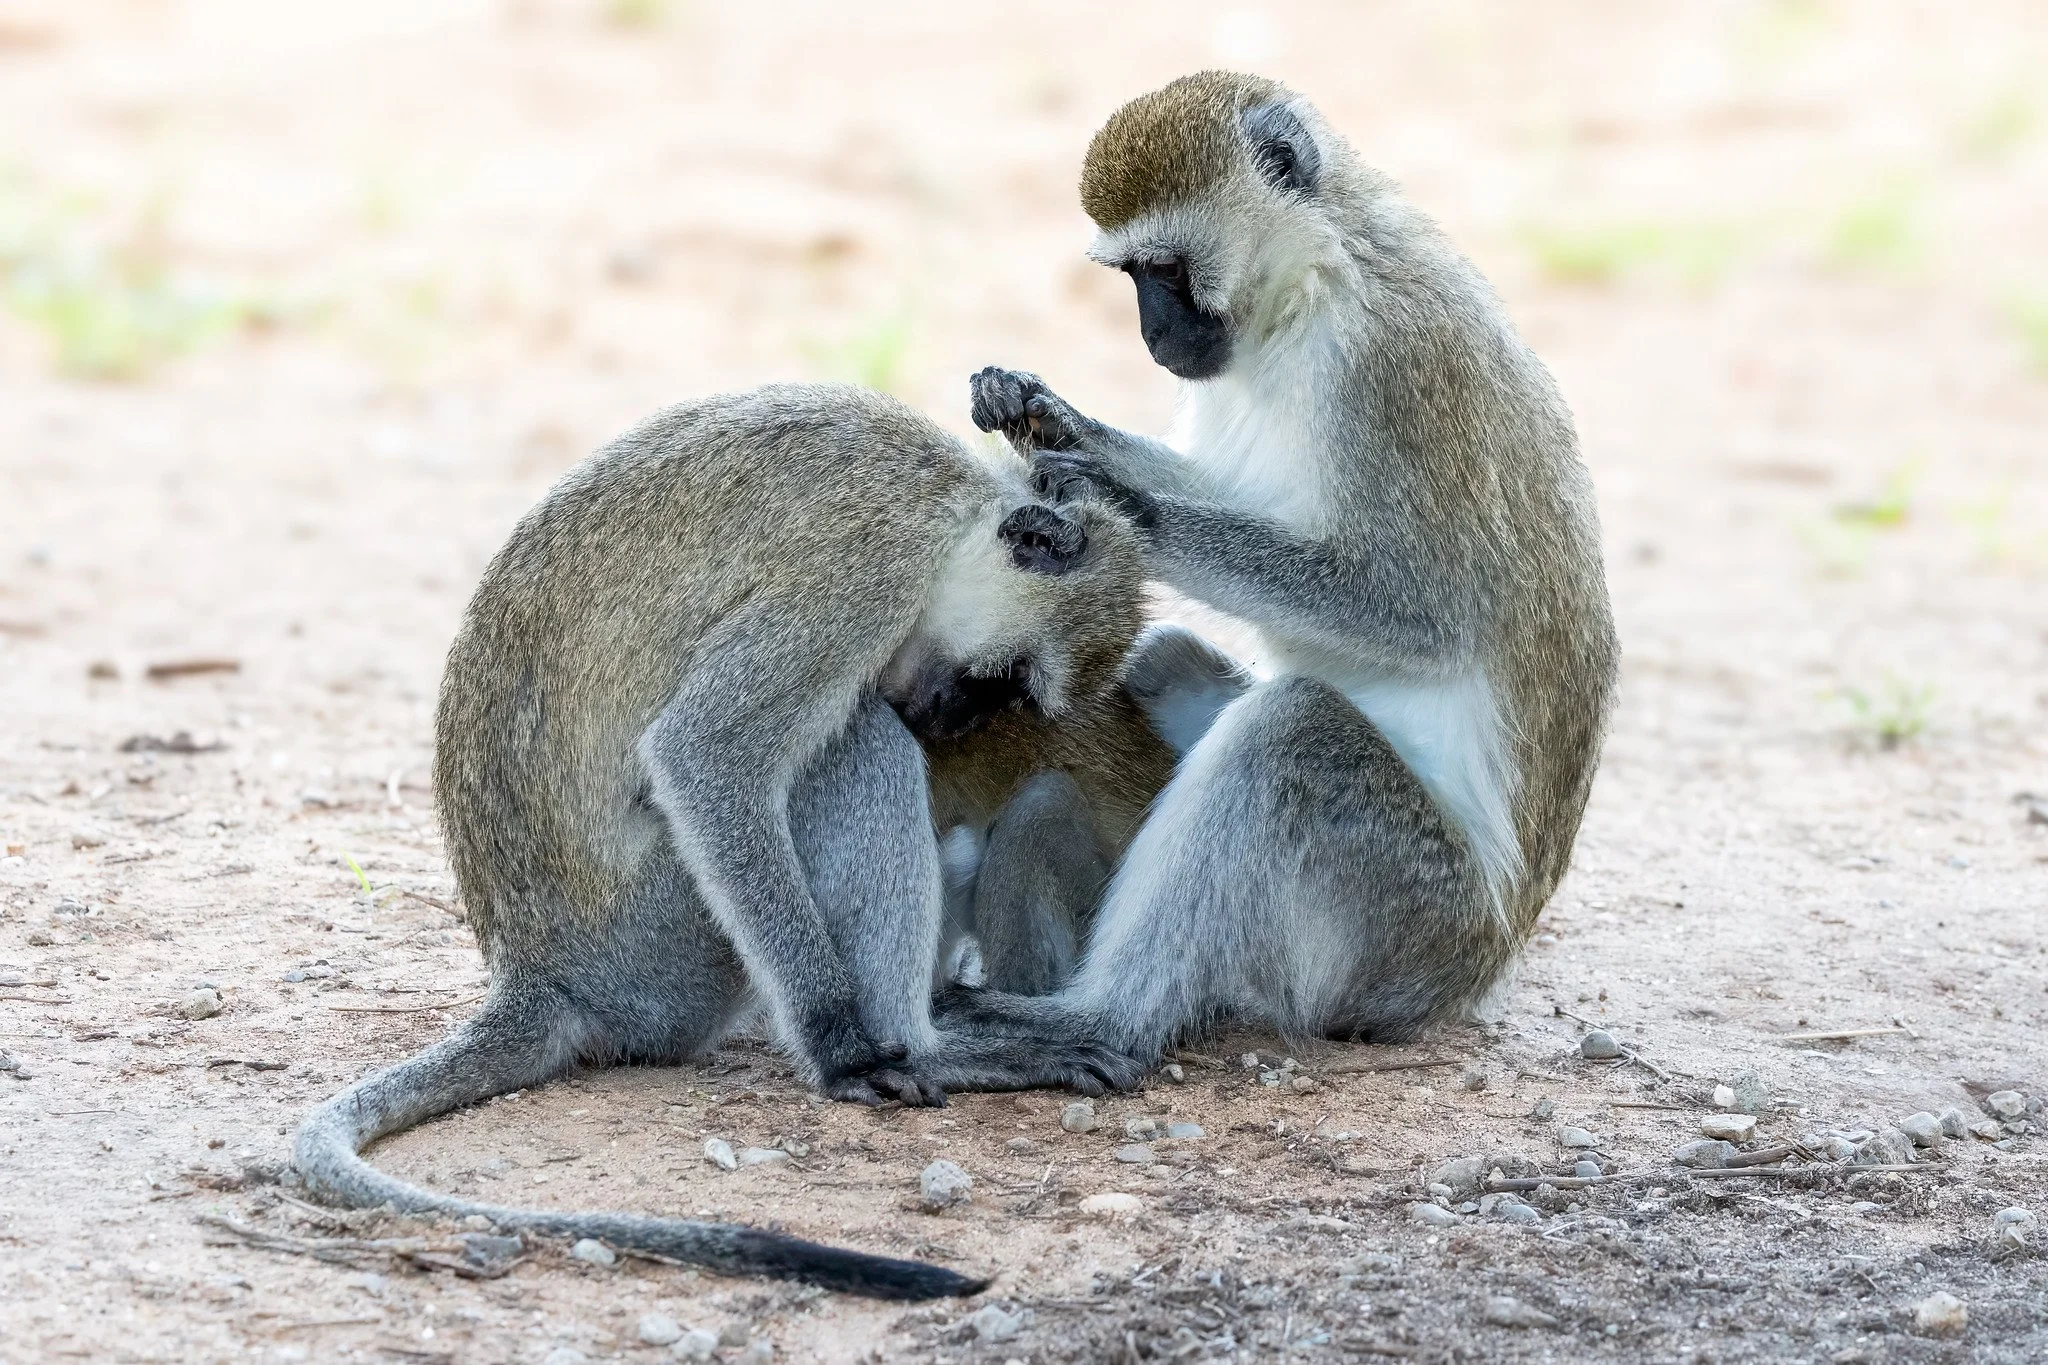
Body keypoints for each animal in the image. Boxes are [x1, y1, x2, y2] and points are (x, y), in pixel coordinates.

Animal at [293, 382, 1163, 1300]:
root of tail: (539, 973)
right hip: (662, 946)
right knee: (854, 744)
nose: (948, 720)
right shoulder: (866, 570)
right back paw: (938, 1048)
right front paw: (842, 1046)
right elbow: (707, 755)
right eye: (1006, 681)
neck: (955, 504)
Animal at [944, 70, 1620, 1064]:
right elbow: (1229, 490)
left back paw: (1097, 1021)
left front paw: (1117, 510)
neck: (1318, 283)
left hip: (1407, 919)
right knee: (1166, 665)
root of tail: (1481, 969)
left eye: (1165, 270)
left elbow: (1428, 611)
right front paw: (1041, 412)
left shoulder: (1394, 365)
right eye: (1131, 277)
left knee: (1289, 733)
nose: (1152, 335)